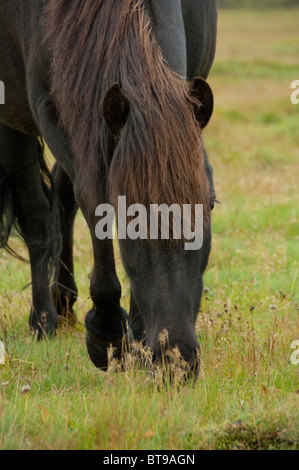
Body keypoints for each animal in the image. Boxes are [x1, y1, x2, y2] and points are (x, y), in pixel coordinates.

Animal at [0, 0, 218, 378]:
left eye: (211, 205)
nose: (176, 357)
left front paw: (139, 335)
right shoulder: (50, 111)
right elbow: (92, 200)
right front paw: (107, 335)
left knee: (60, 196)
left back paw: (64, 300)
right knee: (37, 215)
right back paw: (43, 319)